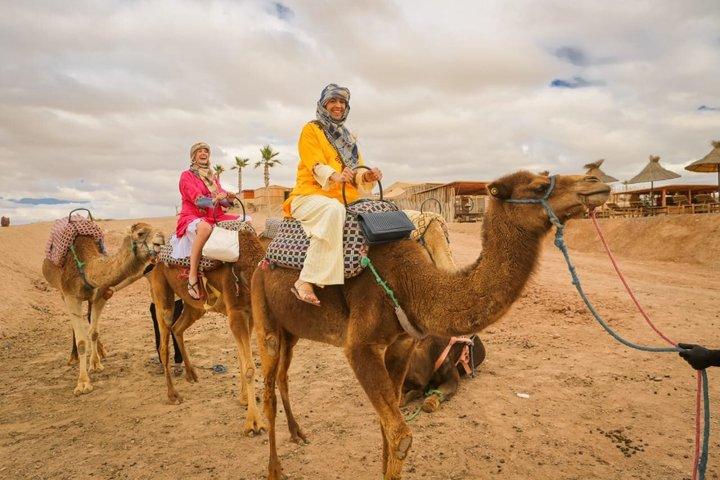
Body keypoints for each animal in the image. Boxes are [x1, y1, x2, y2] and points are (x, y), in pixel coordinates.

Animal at [42, 222, 165, 395]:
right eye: (140, 233)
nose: (161, 238)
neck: (87, 267)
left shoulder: (100, 293)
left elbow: (93, 332)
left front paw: (95, 364)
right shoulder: (70, 295)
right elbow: (82, 341)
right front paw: (83, 383)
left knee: (89, 319)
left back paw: (101, 352)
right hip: (61, 292)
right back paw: (73, 358)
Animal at [147, 227, 267, 435]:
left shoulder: (250, 314)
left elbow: (242, 359)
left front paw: (244, 399)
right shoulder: (236, 313)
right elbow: (250, 367)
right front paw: (253, 423)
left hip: (195, 305)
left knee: (178, 328)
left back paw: (191, 374)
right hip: (162, 292)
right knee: (164, 341)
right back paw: (173, 395)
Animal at [251, 171, 610, 479]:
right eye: (538, 186)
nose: (597, 182)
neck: (413, 284)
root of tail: (262, 258)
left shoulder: (402, 344)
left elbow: (387, 427)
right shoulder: (361, 347)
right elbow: (401, 437)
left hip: (291, 330)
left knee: (283, 377)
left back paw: (298, 434)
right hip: (264, 315)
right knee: (267, 390)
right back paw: (274, 469)